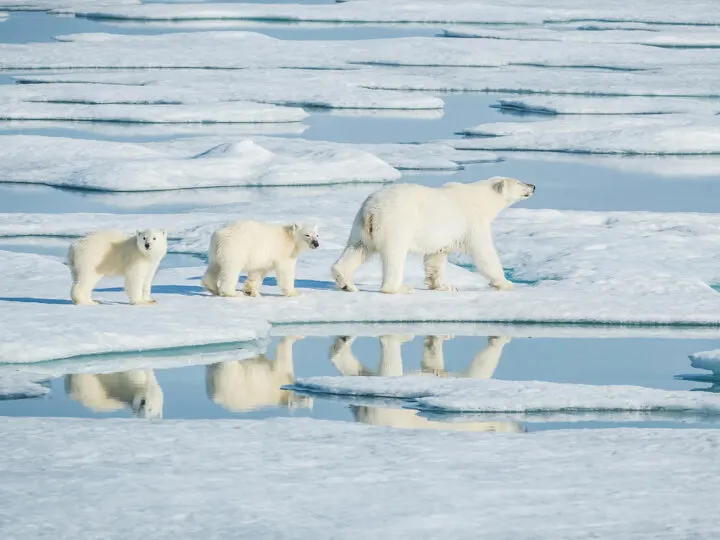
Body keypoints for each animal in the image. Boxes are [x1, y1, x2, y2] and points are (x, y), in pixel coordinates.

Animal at [332, 176, 536, 296]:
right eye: (519, 182)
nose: (533, 185)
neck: (481, 199)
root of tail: (371, 210)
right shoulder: (472, 222)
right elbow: (484, 253)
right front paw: (505, 282)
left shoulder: (443, 236)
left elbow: (436, 257)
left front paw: (444, 286)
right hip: (396, 223)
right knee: (394, 255)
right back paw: (400, 288)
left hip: (361, 226)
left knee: (357, 248)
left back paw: (346, 283)